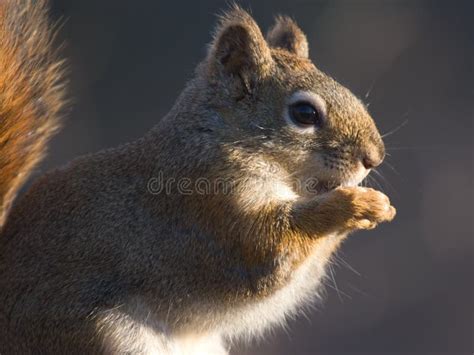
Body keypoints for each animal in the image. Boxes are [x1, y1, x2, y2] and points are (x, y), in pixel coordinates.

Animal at [0, 1, 396, 354]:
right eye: (304, 113)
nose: (374, 157)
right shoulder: (213, 208)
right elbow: (272, 248)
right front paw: (355, 205)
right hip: (103, 336)